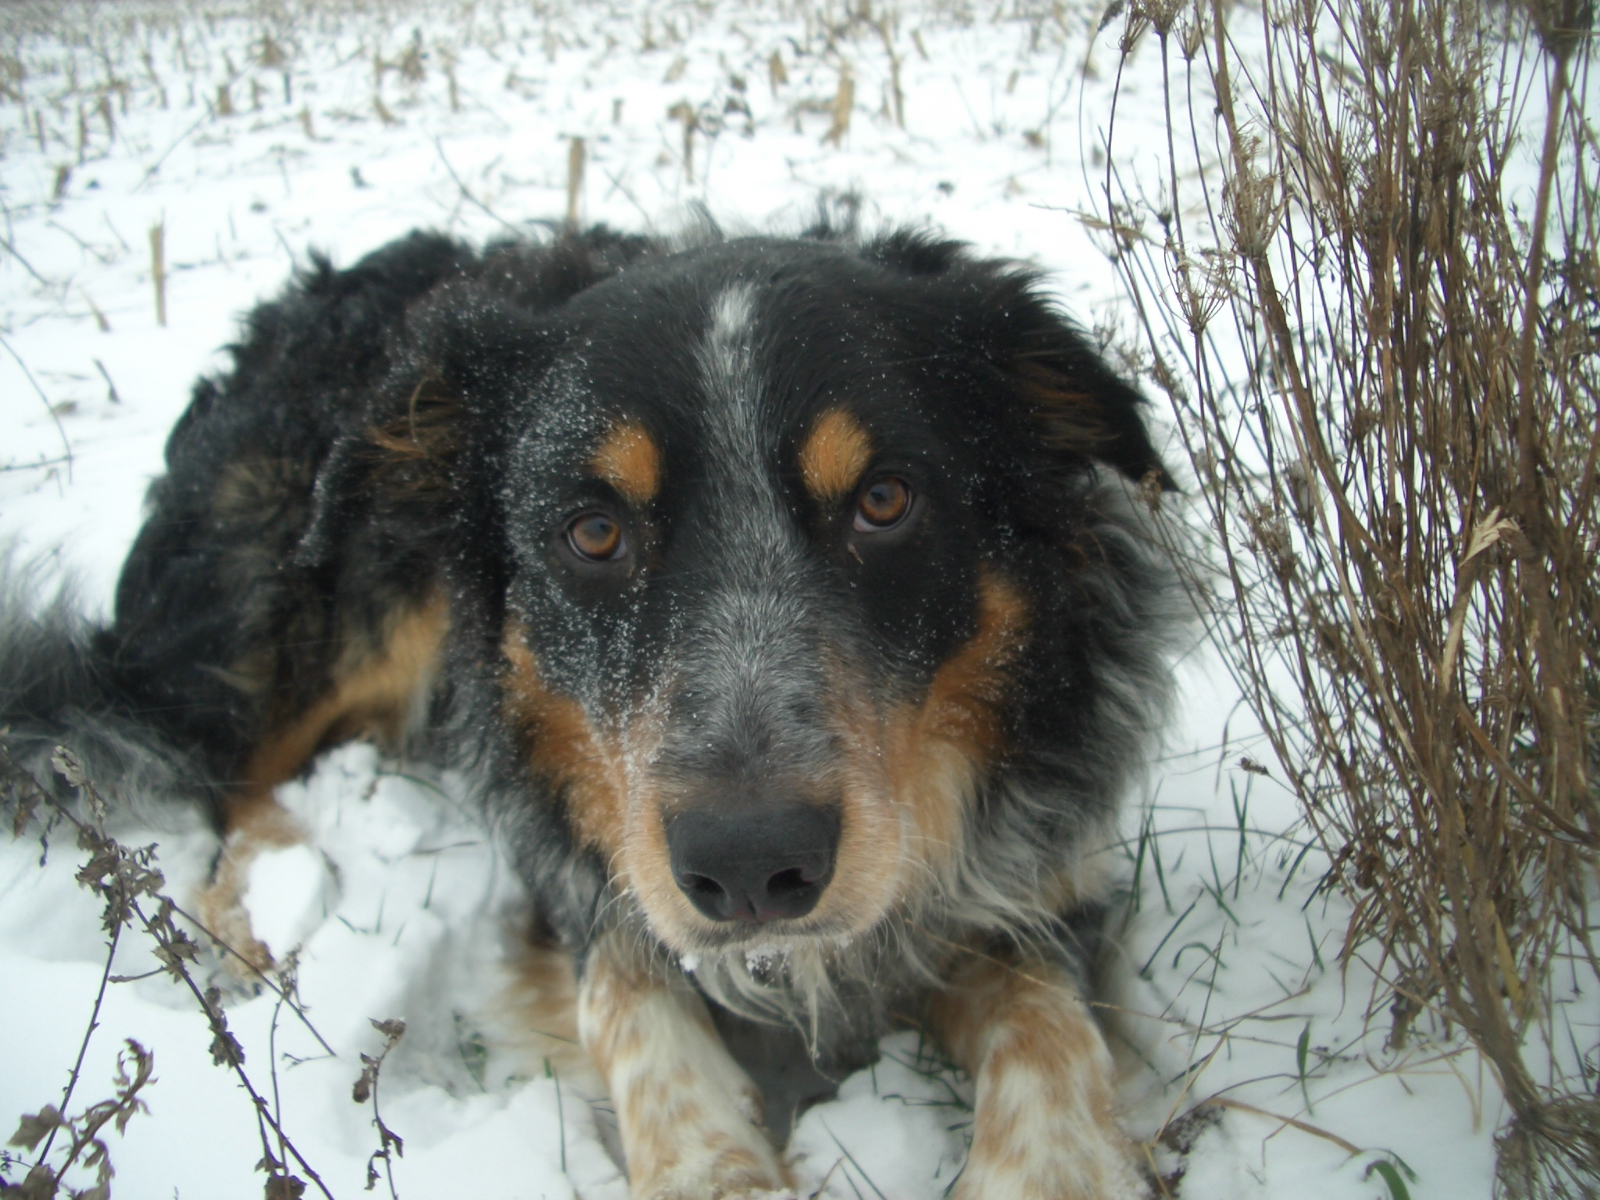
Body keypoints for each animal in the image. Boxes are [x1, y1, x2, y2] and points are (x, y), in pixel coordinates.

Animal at [1, 214, 1180, 1199]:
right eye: (594, 532)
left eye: (884, 501)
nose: (751, 866)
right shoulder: (578, 876)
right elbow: (629, 1004)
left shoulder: (1040, 879)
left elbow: (1049, 1027)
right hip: (344, 600)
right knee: (227, 762)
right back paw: (262, 906)